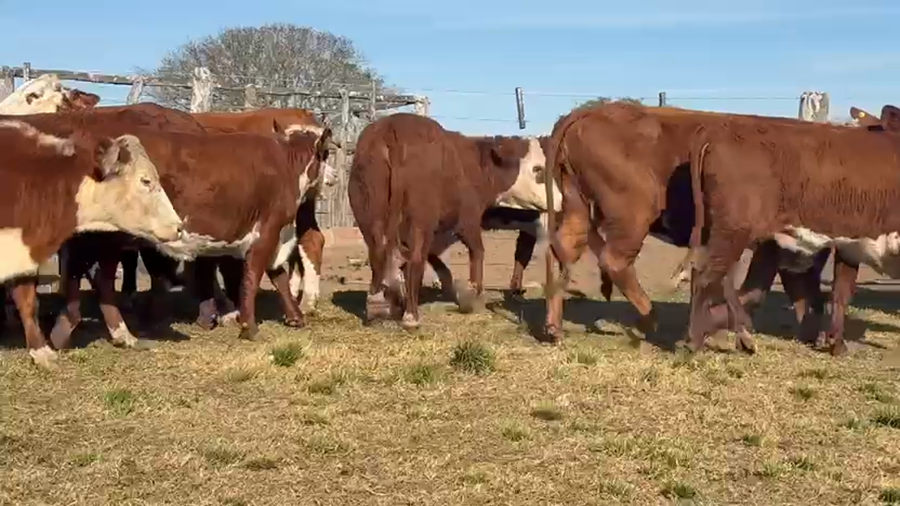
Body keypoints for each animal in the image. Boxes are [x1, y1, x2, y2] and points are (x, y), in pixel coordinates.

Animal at [348, 113, 562, 328]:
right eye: (538, 169)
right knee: (414, 260)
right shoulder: (468, 221)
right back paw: (411, 316)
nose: (560, 199)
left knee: (378, 255)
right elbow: (477, 252)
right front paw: (474, 294)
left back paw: (377, 306)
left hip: (369, 216)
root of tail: (392, 129)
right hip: (419, 222)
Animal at [682, 109, 900, 355]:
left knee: (715, 276)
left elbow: (841, 294)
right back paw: (697, 340)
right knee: (706, 276)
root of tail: (716, 132)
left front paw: (837, 344)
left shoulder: (851, 245)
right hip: (734, 231)